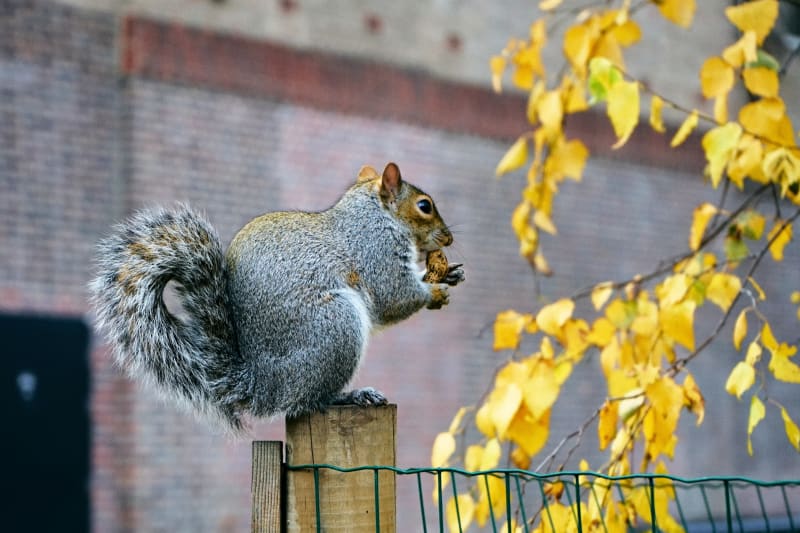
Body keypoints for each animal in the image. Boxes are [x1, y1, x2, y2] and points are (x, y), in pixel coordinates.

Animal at [89, 162, 464, 432]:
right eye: (424, 206)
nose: (448, 237)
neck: (376, 214)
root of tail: (261, 385)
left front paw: (449, 274)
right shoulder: (375, 251)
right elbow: (394, 296)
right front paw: (433, 291)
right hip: (336, 328)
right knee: (307, 403)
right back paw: (351, 395)